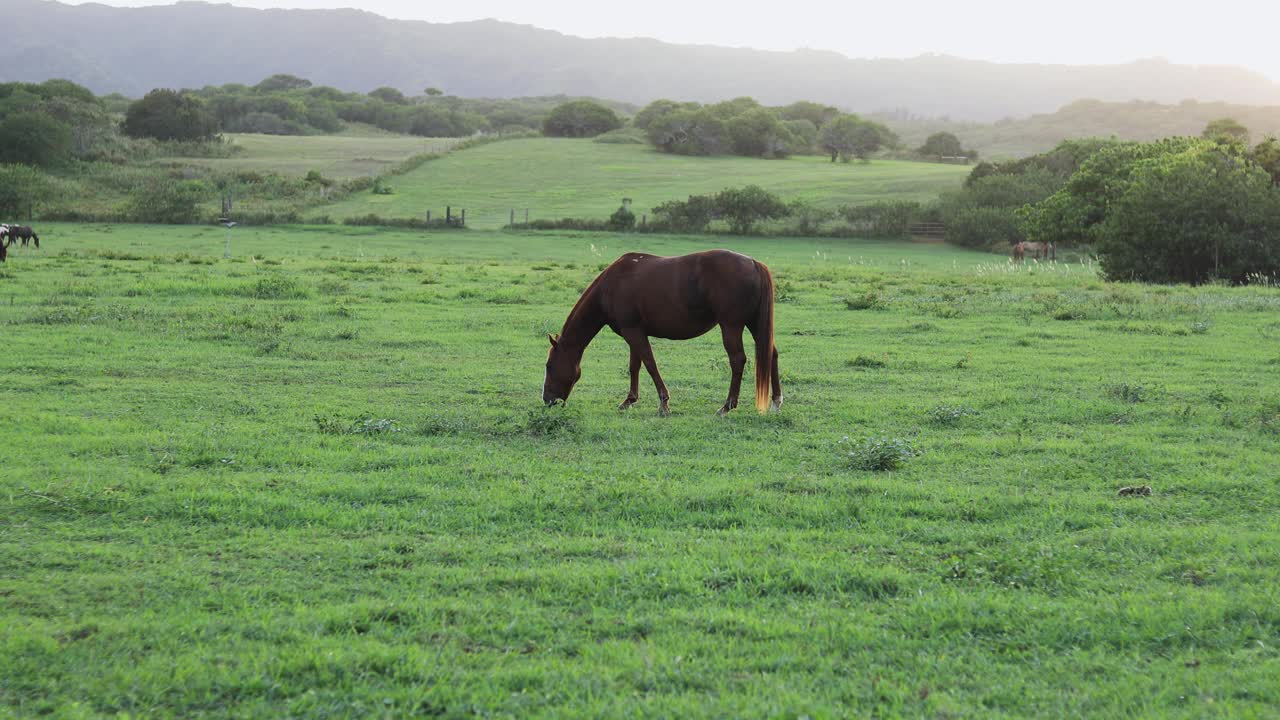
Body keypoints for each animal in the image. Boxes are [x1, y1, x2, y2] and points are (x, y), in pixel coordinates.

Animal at [543, 249, 782, 416]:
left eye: (549, 366)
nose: (547, 400)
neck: (611, 286)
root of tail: (754, 263)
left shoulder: (633, 332)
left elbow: (650, 364)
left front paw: (664, 403)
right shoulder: (634, 332)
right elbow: (635, 366)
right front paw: (629, 400)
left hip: (731, 326)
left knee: (737, 360)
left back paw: (727, 406)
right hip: (754, 324)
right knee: (771, 354)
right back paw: (776, 401)